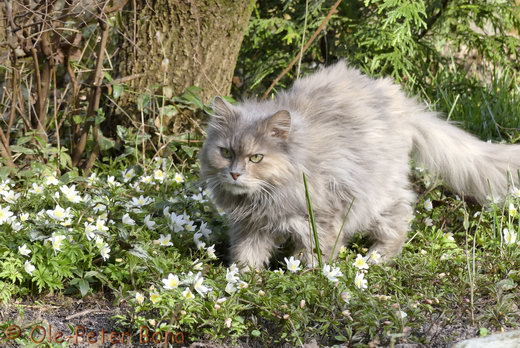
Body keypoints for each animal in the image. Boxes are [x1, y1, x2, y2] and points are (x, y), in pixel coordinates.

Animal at [198, 60, 520, 270]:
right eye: (226, 152)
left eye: (256, 158)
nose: (235, 173)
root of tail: (400, 102)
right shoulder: (250, 226)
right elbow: (246, 257)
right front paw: (243, 284)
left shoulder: (323, 216)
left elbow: (316, 252)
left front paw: (310, 277)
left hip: (378, 195)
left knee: (400, 216)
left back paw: (378, 257)